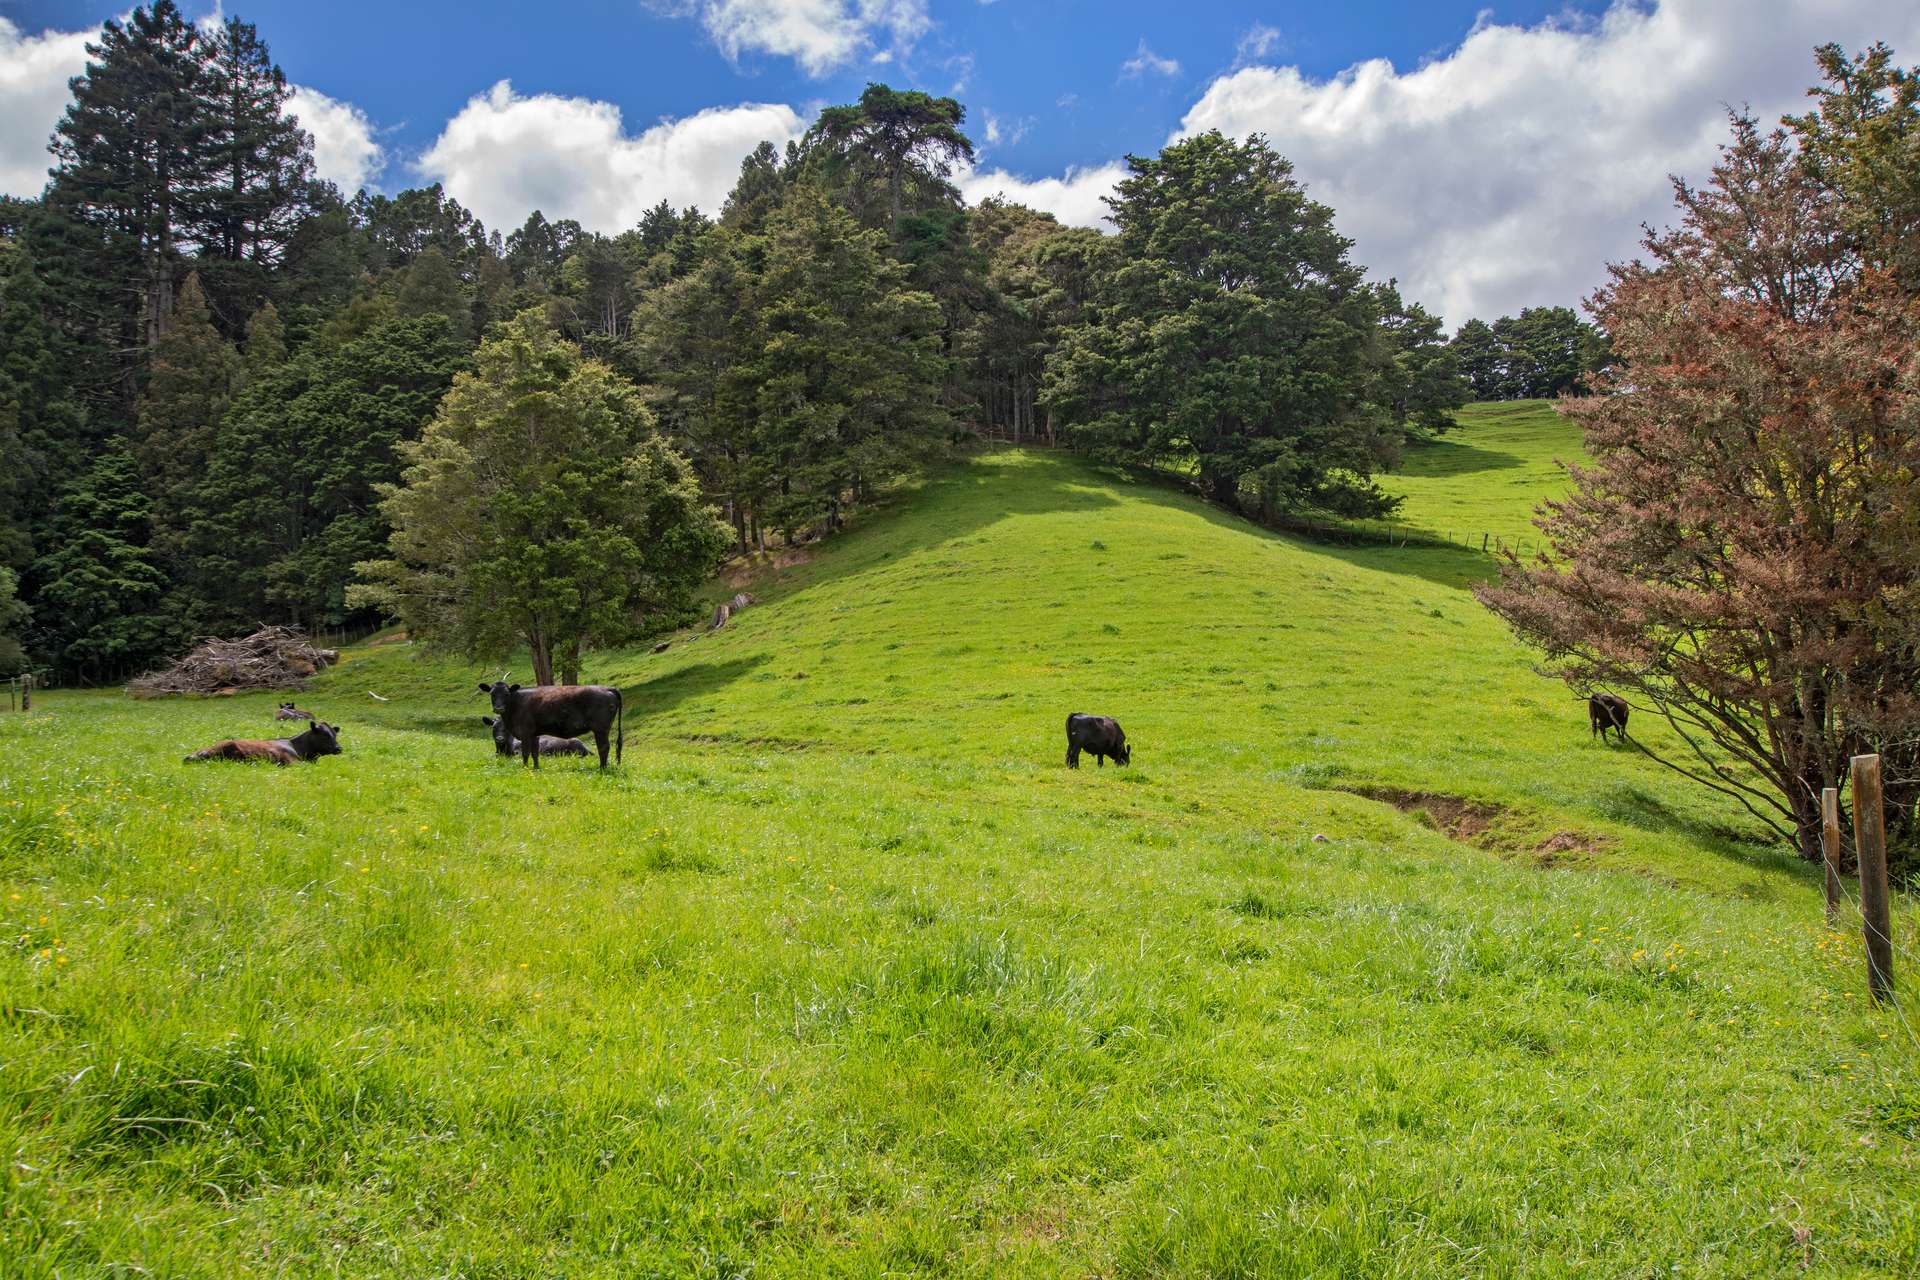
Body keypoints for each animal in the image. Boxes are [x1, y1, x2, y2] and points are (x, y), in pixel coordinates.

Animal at [480, 679, 622, 771]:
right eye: (492, 693)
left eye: (506, 693)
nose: (498, 708)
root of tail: (606, 688)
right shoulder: (534, 734)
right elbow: (534, 752)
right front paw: (536, 768)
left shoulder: (525, 732)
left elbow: (526, 752)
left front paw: (524, 768)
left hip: (601, 729)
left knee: (604, 747)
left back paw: (602, 768)